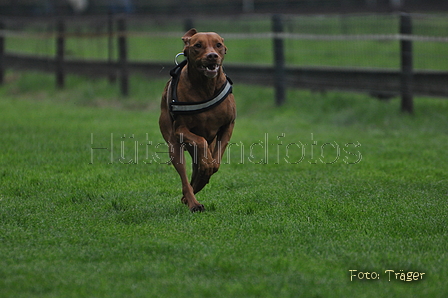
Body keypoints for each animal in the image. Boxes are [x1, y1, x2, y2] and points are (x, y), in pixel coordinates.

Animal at [158, 28, 236, 212]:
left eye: (218, 45)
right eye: (198, 45)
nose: (212, 55)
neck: (205, 87)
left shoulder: (228, 125)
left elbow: (215, 162)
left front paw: (207, 169)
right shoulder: (180, 130)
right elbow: (201, 141)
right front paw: (205, 166)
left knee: (199, 167)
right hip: (173, 144)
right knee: (185, 177)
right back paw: (193, 202)